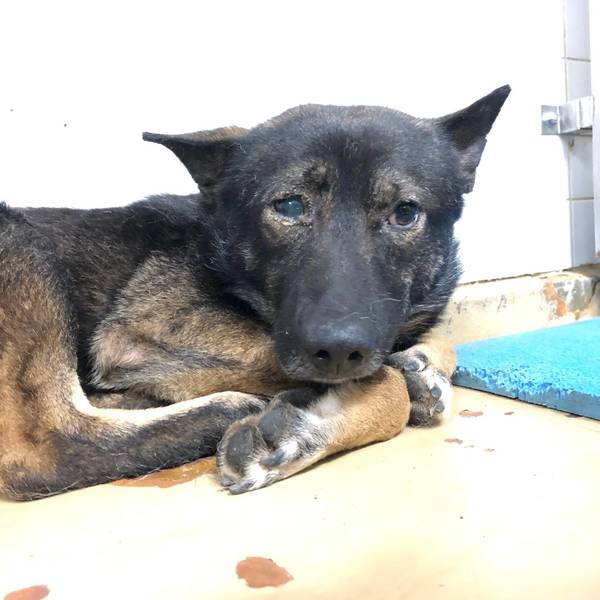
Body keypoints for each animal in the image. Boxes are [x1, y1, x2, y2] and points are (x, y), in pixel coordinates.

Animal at [0, 85, 510, 499]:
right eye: (289, 206)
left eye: (405, 213)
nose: (338, 349)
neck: (219, 249)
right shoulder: (147, 330)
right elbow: (388, 390)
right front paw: (303, 428)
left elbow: (436, 347)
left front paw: (422, 368)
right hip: (23, 247)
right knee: (46, 446)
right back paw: (226, 409)